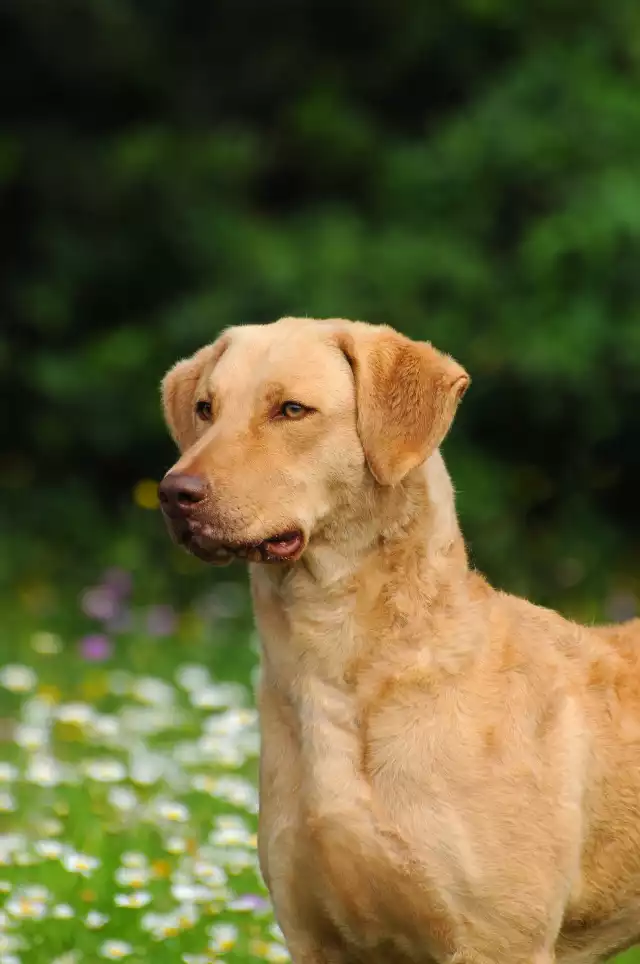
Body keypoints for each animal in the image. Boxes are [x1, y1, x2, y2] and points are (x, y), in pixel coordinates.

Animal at [159, 318, 640, 964]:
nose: (174, 492)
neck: (337, 666)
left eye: (292, 409)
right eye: (205, 408)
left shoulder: (499, 940)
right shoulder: (316, 937)